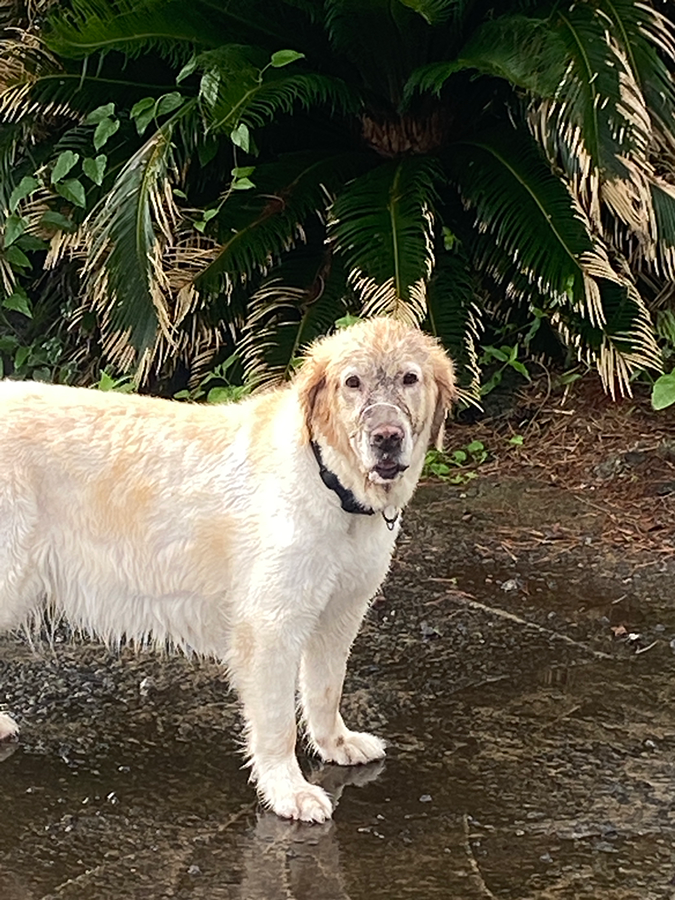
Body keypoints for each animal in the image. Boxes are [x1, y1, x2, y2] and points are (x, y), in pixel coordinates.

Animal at [0, 316, 456, 824]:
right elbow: (277, 721)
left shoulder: (339, 614)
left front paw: (336, 744)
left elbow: (325, 689)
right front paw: (288, 790)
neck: (329, 481)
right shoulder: (270, 625)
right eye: (351, 383)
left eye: (410, 378)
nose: (387, 438)